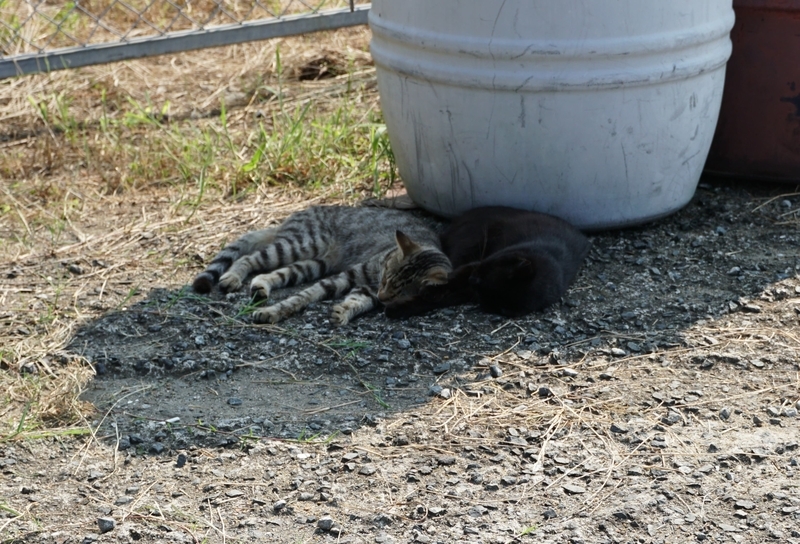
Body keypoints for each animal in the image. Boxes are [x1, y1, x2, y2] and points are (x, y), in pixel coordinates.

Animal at [192, 204, 450, 324]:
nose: (383, 295)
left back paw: (261, 286)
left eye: (400, 294)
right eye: (386, 277)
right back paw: (232, 277)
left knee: (275, 274)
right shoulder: (350, 277)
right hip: (299, 245)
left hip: (314, 264)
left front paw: (343, 311)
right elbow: (302, 297)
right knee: (248, 258)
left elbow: (357, 301)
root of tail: (288, 219)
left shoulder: (366, 288)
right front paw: (274, 312)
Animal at [384, 207, 592, 318]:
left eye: (481, 288)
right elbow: (452, 278)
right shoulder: (475, 263)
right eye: (485, 271)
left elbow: (442, 298)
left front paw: (401, 306)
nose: (473, 280)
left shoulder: (469, 289)